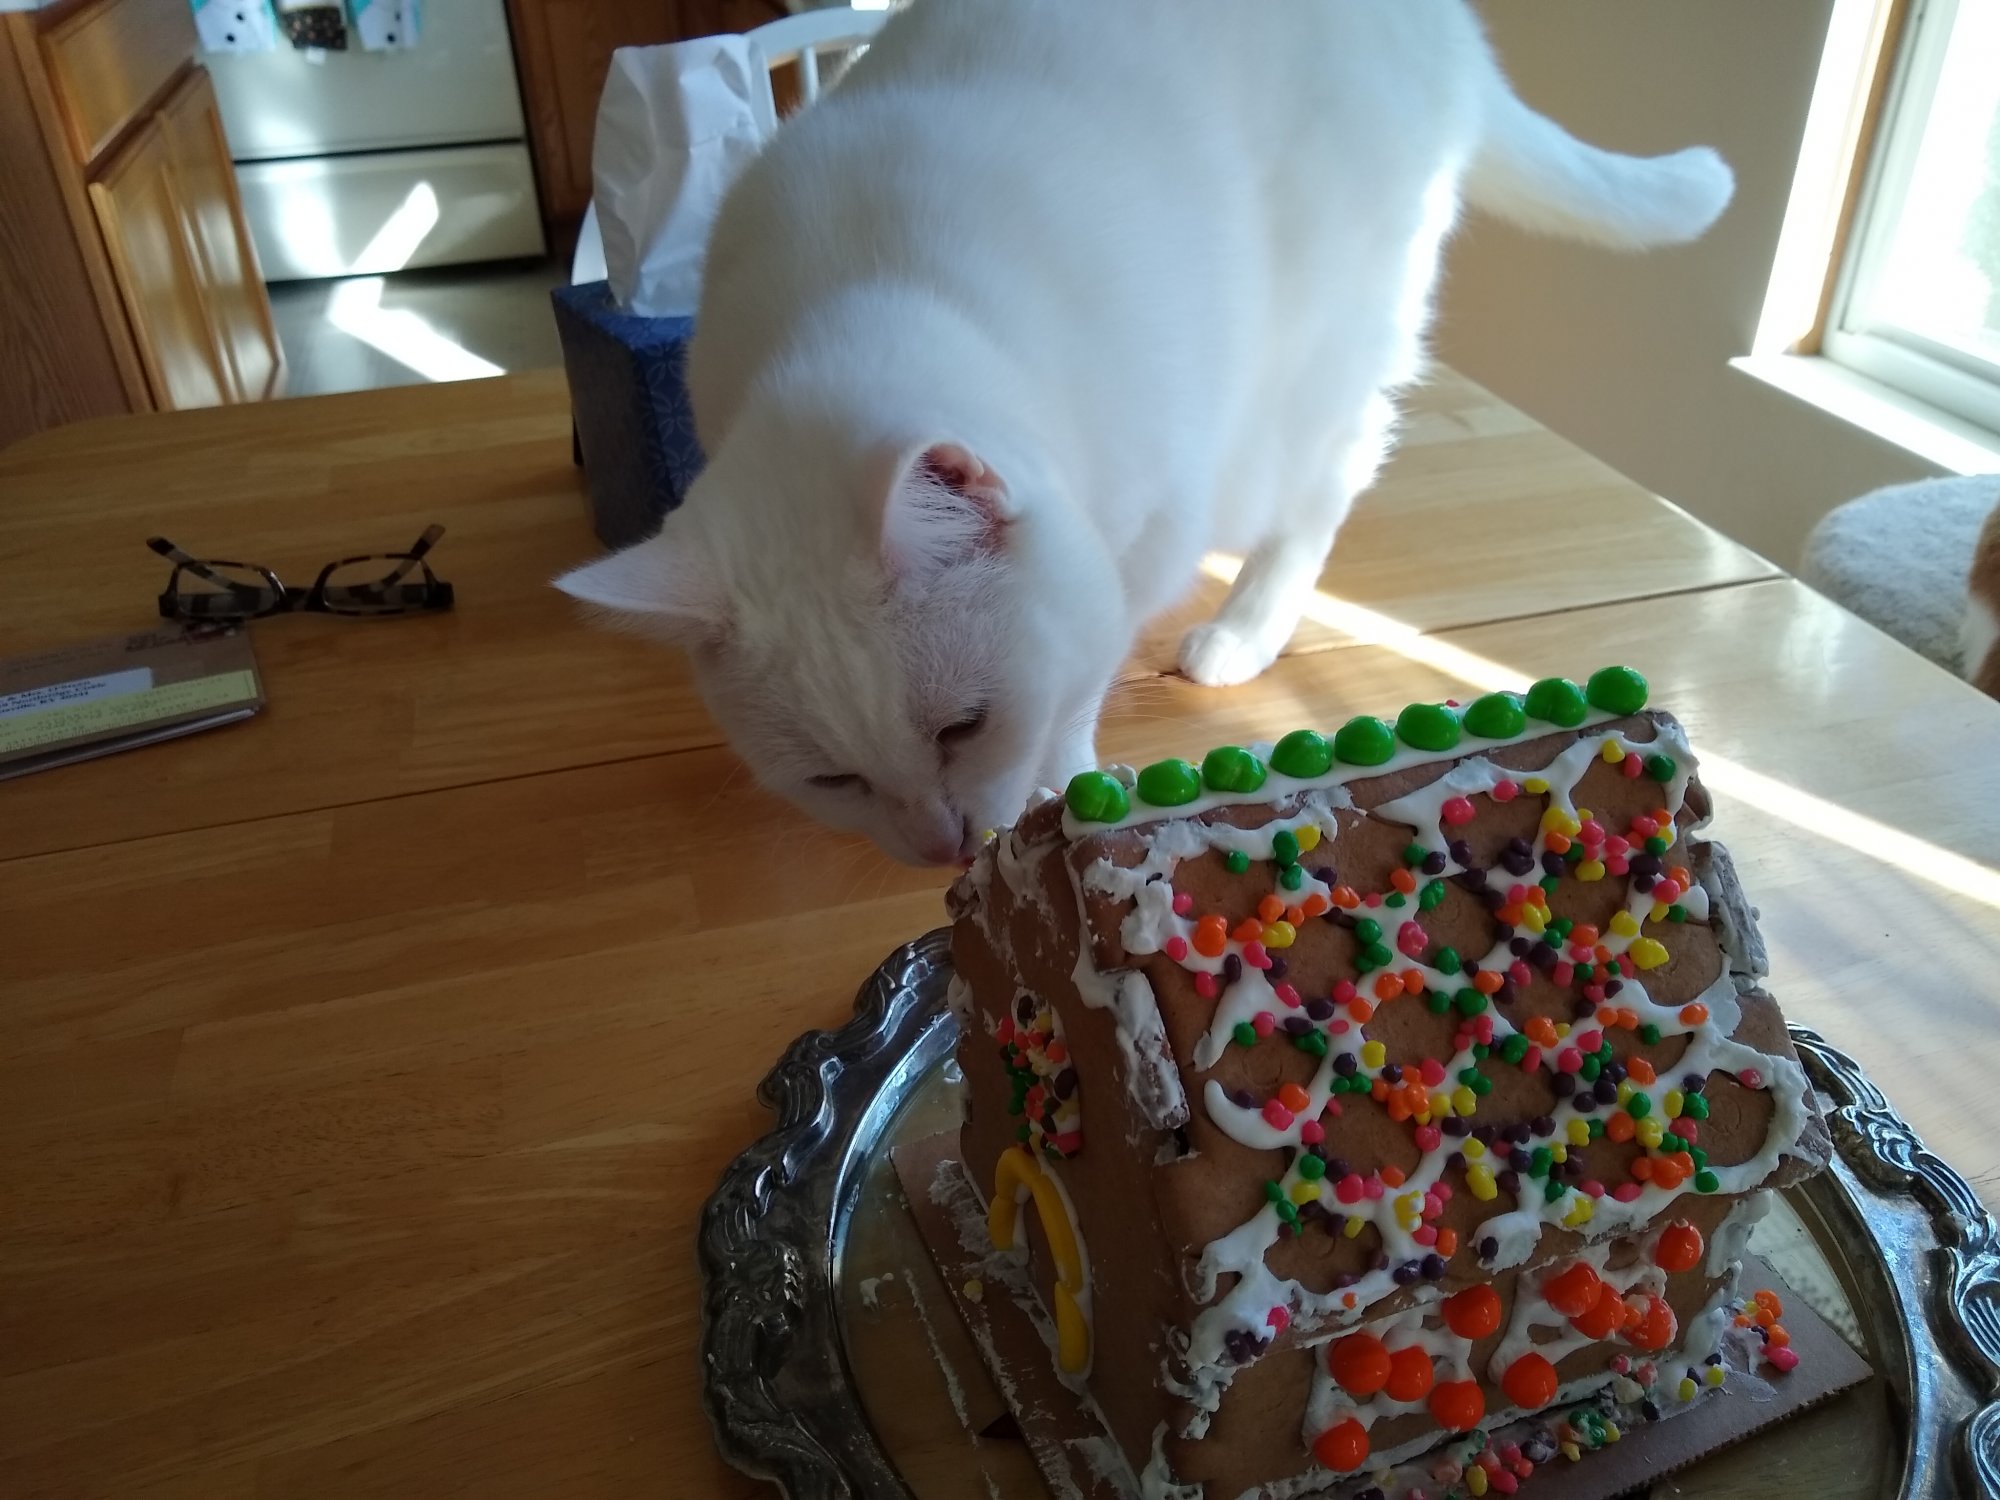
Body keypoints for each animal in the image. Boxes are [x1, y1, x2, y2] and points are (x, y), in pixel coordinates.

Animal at [560, 2, 1736, 868]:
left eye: (963, 727)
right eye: (833, 780)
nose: (937, 848)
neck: (857, 298)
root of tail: (1443, 28)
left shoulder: (1144, 542)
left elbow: (1079, 680)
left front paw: (1064, 783)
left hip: (1305, 367)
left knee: (1337, 464)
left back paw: (1240, 632)